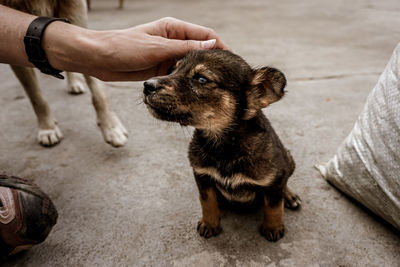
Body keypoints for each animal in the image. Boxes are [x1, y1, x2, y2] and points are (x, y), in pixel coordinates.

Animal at [1, 0, 128, 148]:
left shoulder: (76, 14)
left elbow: (98, 91)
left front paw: (111, 127)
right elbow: (36, 97)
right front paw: (48, 128)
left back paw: (74, 83)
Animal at [143, 49, 300, 243]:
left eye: (201, 79)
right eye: (172, 69)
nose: (147, 85)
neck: (223, 146)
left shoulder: (275, 178)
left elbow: (274, 206)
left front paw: (273, 227)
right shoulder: (202, 175)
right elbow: (207, 202)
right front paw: (209, 224)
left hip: (288, 159)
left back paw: (289, 196)